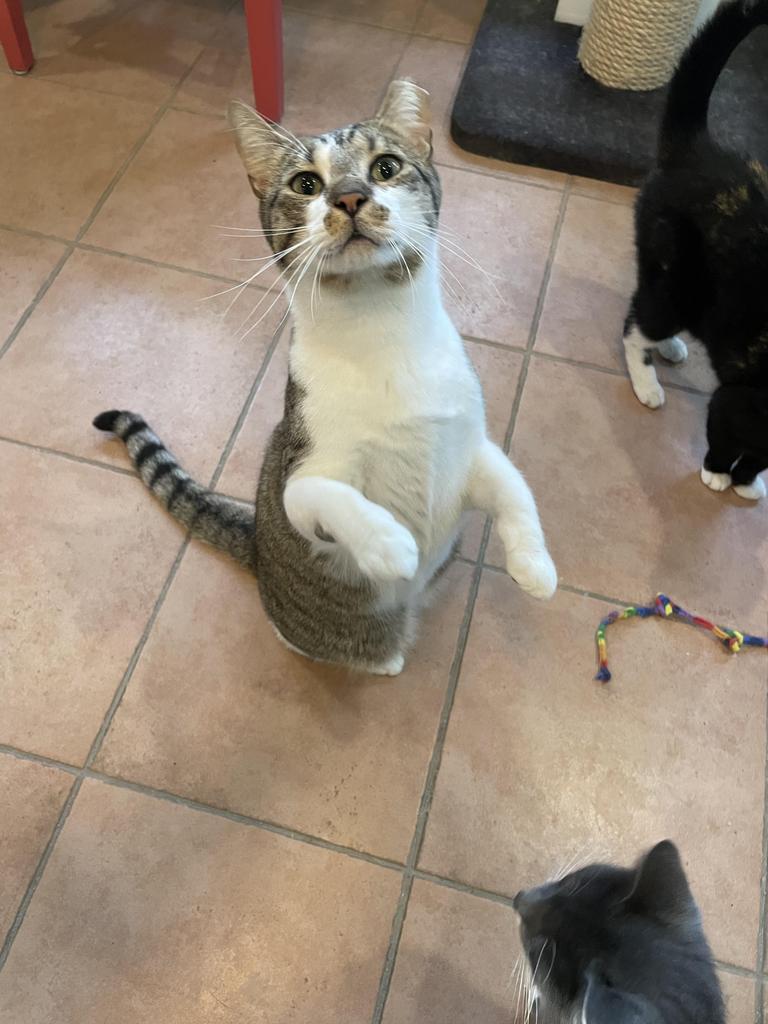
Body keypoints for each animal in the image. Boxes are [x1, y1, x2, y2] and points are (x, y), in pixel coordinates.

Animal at [93, 80, 557, 675]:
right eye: (306, 183)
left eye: (385, 167)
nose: (350, 197)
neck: (381, 332)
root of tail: (257, 547)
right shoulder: (305, 467)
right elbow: (327, 497)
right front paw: (390, 543)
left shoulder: (470, 445)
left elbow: (515, 489)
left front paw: (534, 565)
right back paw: (386, 657)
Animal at [623, 0, 768, 500]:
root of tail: (698, 150)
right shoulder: (739, 401)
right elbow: (726, 432)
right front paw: (722, 474)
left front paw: (749, 481)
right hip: (677, 281)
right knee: (635, 323)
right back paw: (647, 379)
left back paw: (670, 349)